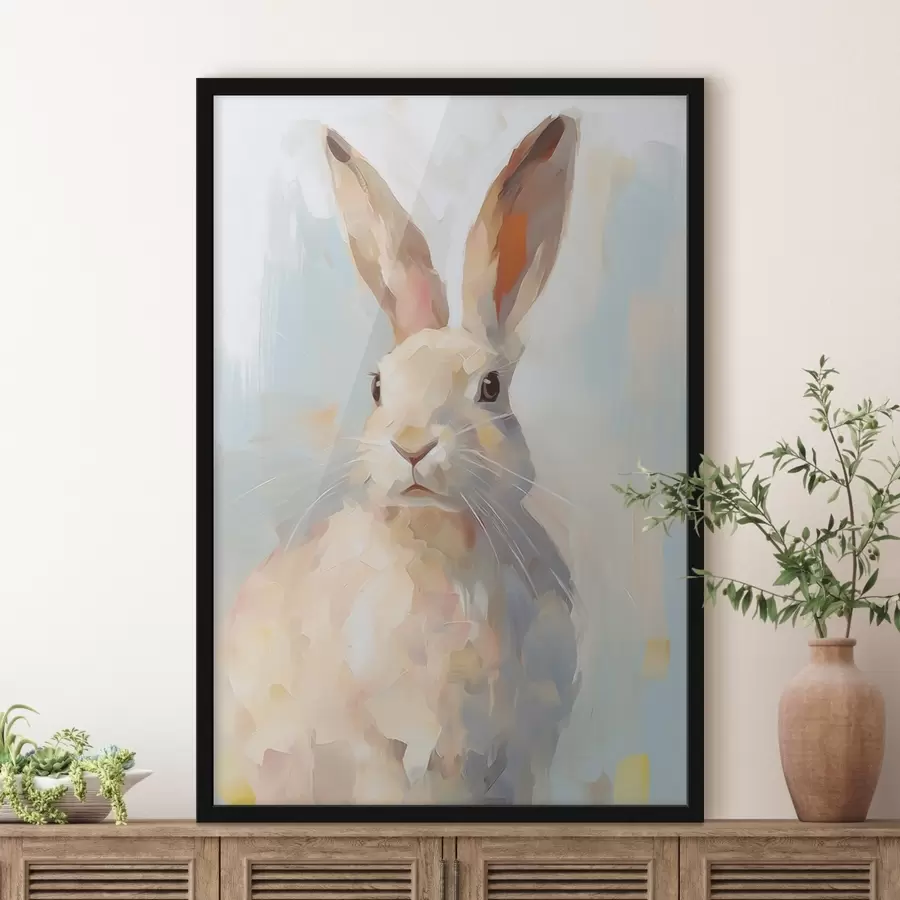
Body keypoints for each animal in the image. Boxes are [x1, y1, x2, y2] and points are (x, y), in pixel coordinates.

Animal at [219, 115, 582, 807]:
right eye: (378, 386)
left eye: (491, 387)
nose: (412, 444)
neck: (438, 540)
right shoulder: (379, 755)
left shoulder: (524, 757)